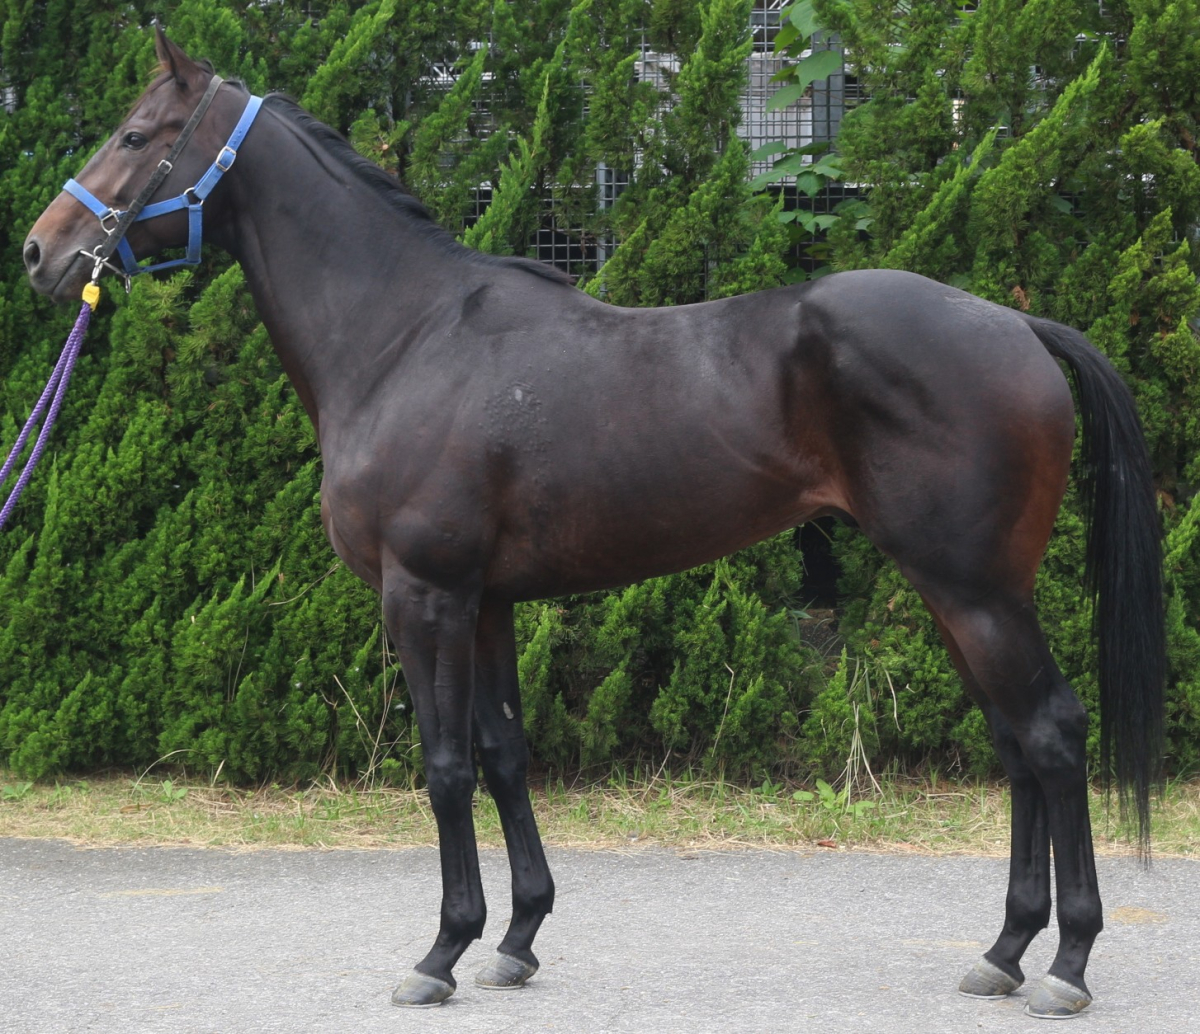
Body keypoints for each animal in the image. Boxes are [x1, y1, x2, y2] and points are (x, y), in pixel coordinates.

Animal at [22, 30, 1163, 1018]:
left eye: (136, 134)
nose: (41, 251)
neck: (404, 337)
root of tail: (1016, 322)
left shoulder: (425, 596)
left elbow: (444, 767)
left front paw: (440, 951)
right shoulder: (485, 603)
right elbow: (503, 754)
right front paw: (517, 938)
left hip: (974, 589)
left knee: (1051, 733)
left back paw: (1066, 961)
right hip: (959, 591)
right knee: (1016, 744)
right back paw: (1003, 951)